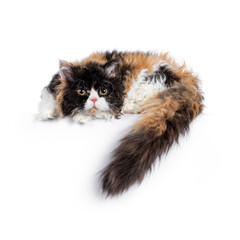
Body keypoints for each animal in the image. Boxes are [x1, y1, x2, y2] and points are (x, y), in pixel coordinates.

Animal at [38, 50, 203, 195]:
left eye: (103, 91)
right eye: (81, 91)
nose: (94, 99)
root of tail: (186, 78)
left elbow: (101, 112)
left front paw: (81, 117)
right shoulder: (53, 85)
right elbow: (48, 98)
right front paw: (47, 114)